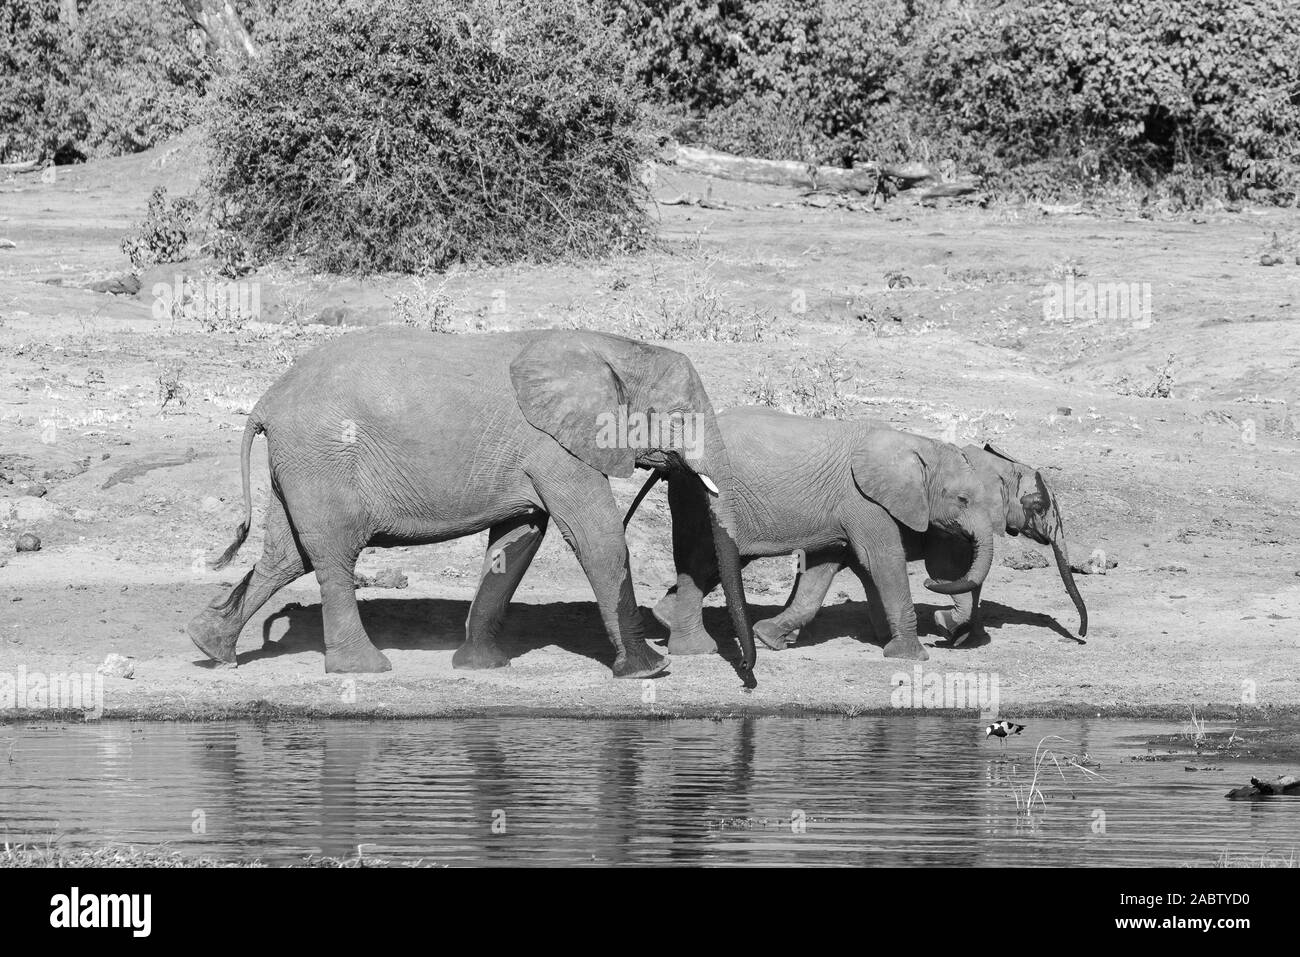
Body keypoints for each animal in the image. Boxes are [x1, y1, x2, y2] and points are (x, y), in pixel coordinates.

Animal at [188, 325, 759, 686]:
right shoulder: (554, 448)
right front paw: (649, 670)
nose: (749, 680)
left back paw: (210, 648)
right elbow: (597, 538)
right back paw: (365, 670)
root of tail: (265, 402)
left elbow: (517, 542)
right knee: (331, 556)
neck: (609, 348)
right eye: (679, 417)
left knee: (285, 558)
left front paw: (481, 665)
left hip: (302, 466)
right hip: (322, 461)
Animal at [624, 408, 998, 660]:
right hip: (700, 495)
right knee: (702, 558)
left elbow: (822, 570)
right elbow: (883, 561)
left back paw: (666, 620)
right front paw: (909, 655)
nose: (944, 622)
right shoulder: (863, 501)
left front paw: (768, 637)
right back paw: (694, 647)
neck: (918, 444)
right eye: (962, 500)